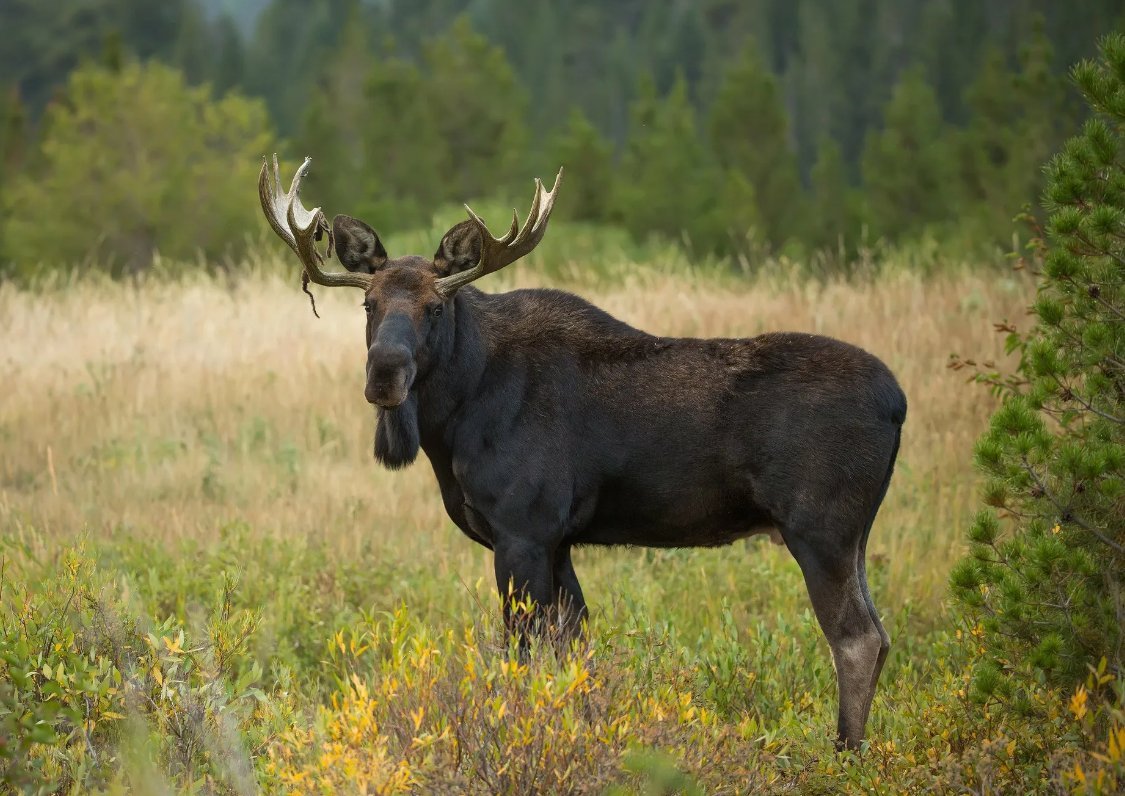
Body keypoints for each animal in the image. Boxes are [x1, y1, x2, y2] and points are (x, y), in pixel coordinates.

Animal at [257, 157, 904, 751]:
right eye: (368, 306)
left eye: (434, 308)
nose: (385, 374)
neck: (455, 419)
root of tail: (898, 402)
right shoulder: (560, 540)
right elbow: (573, 650)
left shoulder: (523, 530)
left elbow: (522, 654)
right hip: (854, 535)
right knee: (878, 635)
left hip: (819, 528)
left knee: (855, 639)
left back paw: (844, 753)